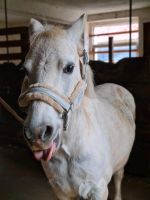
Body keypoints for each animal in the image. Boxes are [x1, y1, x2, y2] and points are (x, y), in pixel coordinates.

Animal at [18, 15, 135, 200]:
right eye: (25, 70)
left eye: (69, 67)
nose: (37, 132)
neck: (70, 149)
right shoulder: (61, 191)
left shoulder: (98, 190)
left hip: (121, 163)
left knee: (118, 179)